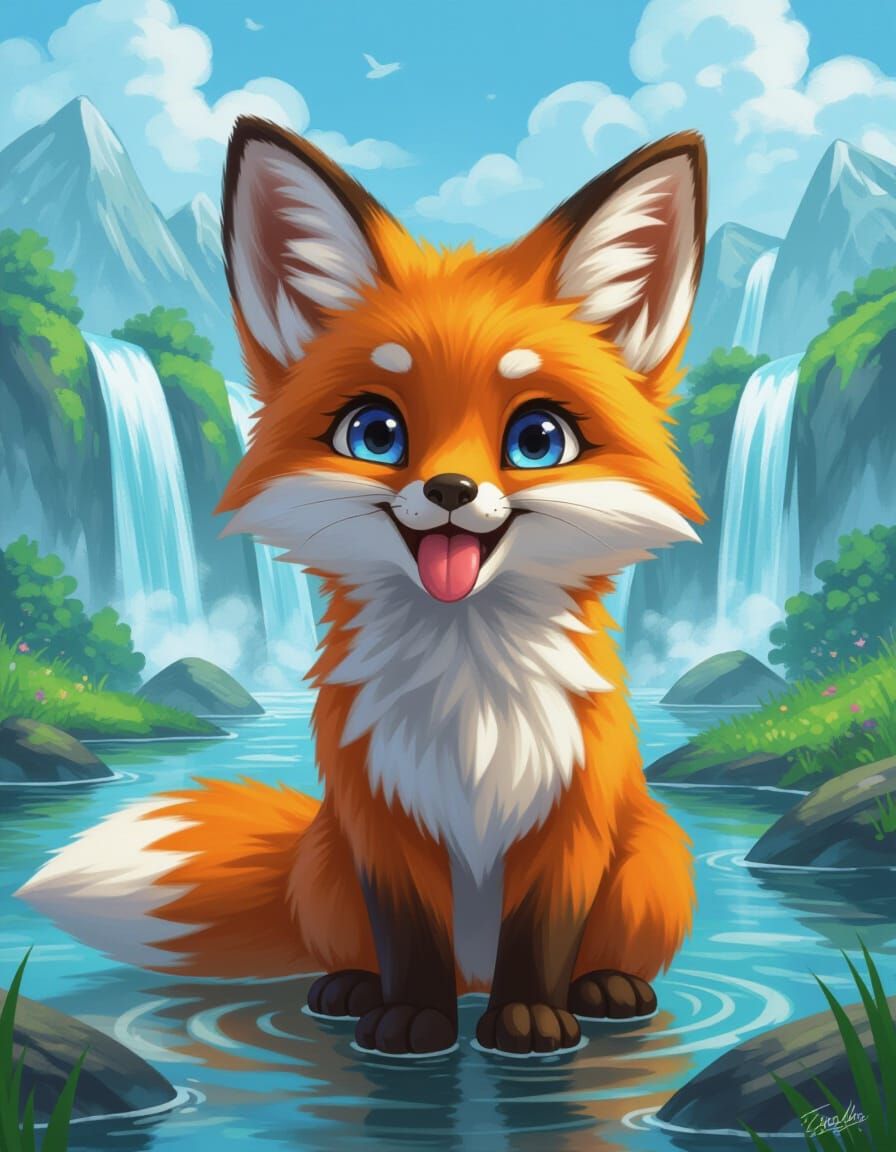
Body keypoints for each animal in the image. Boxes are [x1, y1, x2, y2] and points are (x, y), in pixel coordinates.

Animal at [19, 116, 707, 1057]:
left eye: (537, 439)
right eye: (376, 432)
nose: (450, 491)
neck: (468, 701)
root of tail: (473, 974)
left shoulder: (569, 817)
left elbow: (542, 932)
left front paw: (531, 1023)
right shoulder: (381, 820)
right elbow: (408, 935)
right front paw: (410, 1020)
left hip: (652, 861)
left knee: (602, 949)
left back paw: (604, 986)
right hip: (327, 861)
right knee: (359, 946)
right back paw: (350, 989)